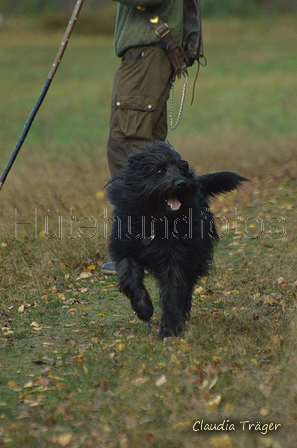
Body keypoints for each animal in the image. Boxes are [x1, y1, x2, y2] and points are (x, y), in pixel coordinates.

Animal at [106, 142, 245, 338]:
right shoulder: (125, 247)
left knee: (187, 287)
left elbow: (173, 290)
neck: (155, 222)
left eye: (180, 167)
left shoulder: (177, 256)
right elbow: (128, 276)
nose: (181, 183)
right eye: (159, 171)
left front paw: (169, 329)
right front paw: (144, 308)